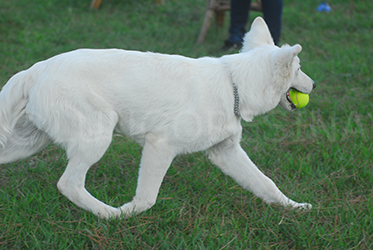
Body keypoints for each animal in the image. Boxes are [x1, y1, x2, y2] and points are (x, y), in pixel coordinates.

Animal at [0, 17, 314, 219]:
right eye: (299, 68)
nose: (314, 85)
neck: (233, 84)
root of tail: (37, 69)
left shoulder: (226, 152)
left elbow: (266, 184)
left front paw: (294, 207)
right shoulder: (160, 146)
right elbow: (147, 198)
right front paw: (128, 213)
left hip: (28, 144)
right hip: (97, 136)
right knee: (69, 184)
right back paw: (109, 215)